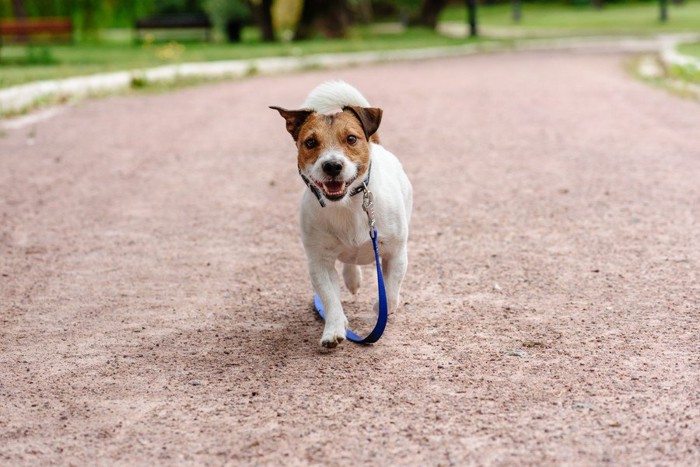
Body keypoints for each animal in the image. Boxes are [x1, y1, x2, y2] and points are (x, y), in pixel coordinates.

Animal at [268, 80, 410, 350]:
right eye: (310, 142)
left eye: (351, 138)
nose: (332, 165)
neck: (348, 205)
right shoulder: (319, 262)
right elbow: (330, 298)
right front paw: (334, 328)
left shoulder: (395, 254)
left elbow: (390, 291)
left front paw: (381, 308)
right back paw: (351, 278)